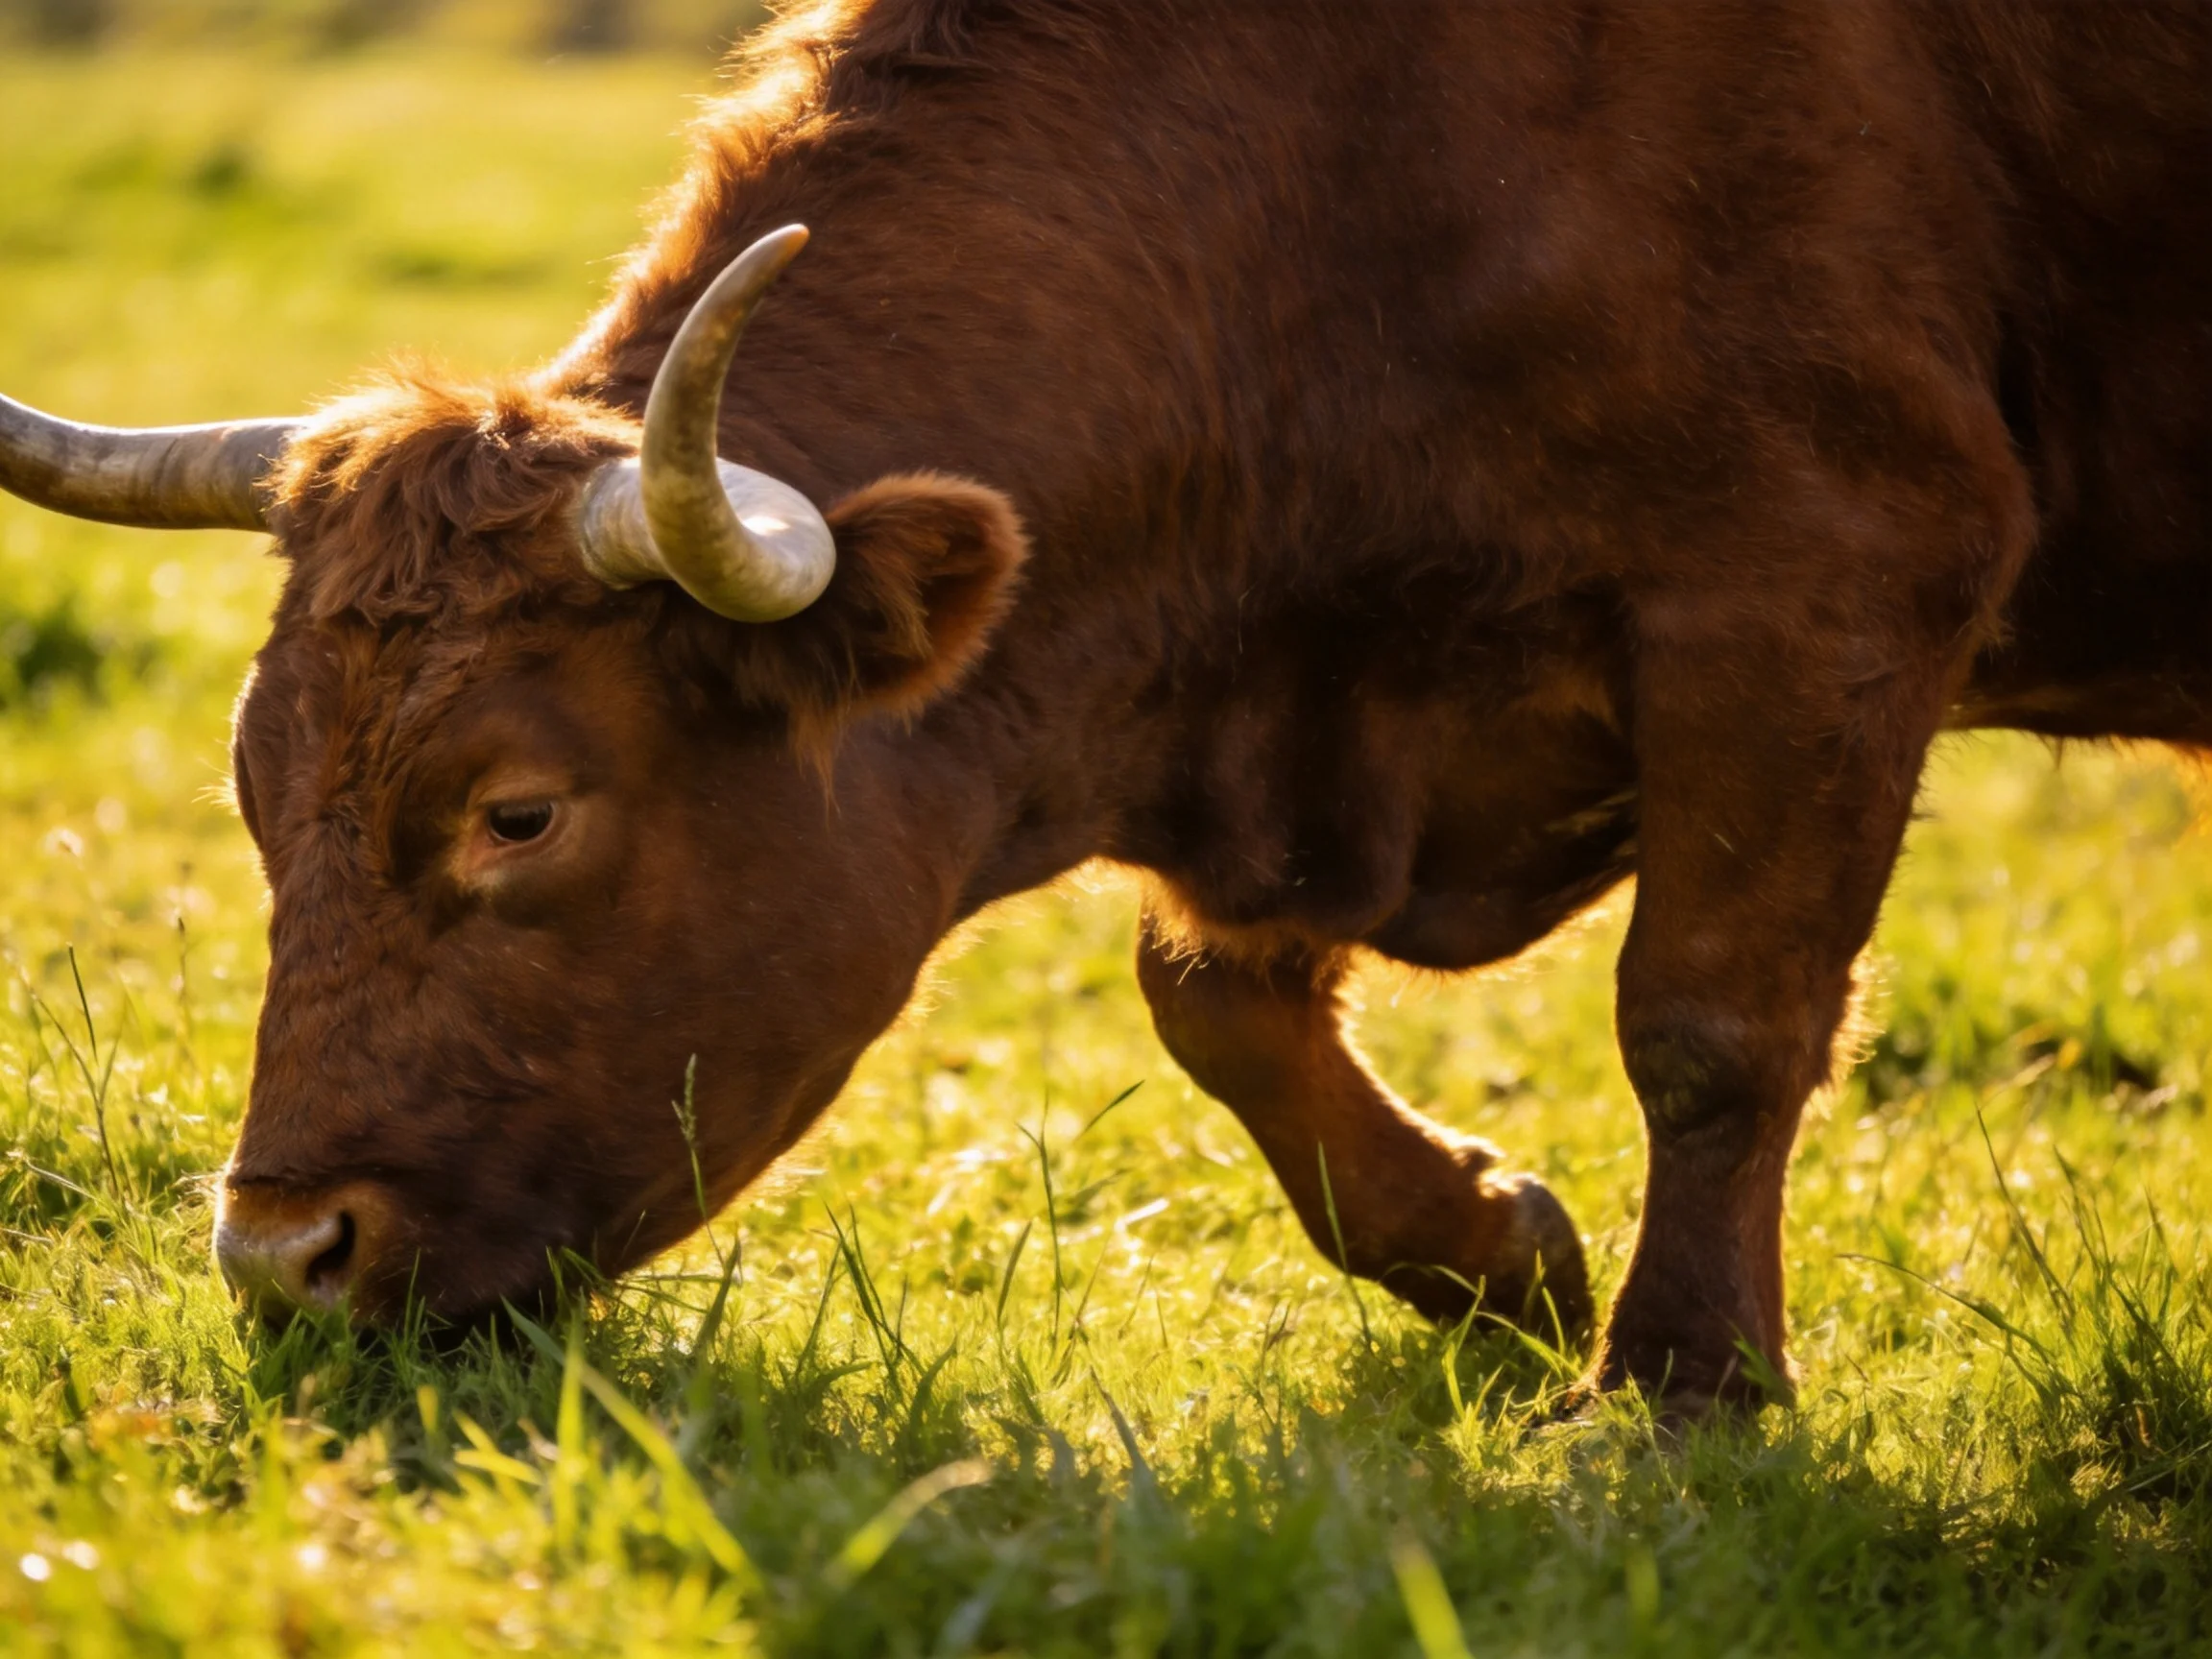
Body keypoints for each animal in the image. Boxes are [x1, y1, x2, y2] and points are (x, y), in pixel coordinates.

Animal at [1, 0, 2205, 1415]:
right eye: (254, 791)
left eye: (519, 811)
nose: (280, 1257)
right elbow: (1214, 999)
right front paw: (1494, 1249)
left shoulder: (1822, 575)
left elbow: (1712, 1019)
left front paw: (1683, 1383)